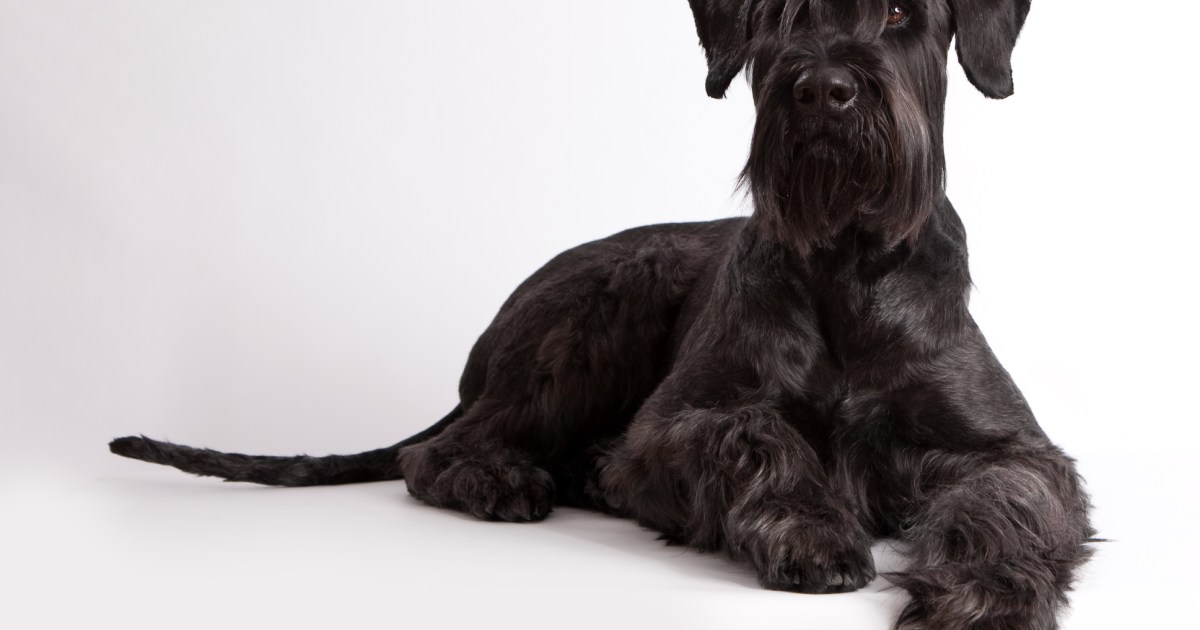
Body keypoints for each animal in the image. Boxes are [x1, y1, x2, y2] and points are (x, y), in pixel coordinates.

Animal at [108, 2, 1094, 624]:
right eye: (788, 16)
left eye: (897, 14)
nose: (824, 90)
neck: (846, 260)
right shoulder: (671, 425)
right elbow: (756, 435)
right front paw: (814, 530)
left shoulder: (1014, 445)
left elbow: (1008, 494)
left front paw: (983, 590)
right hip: (601, 310)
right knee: (438, 452)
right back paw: (504, 481)